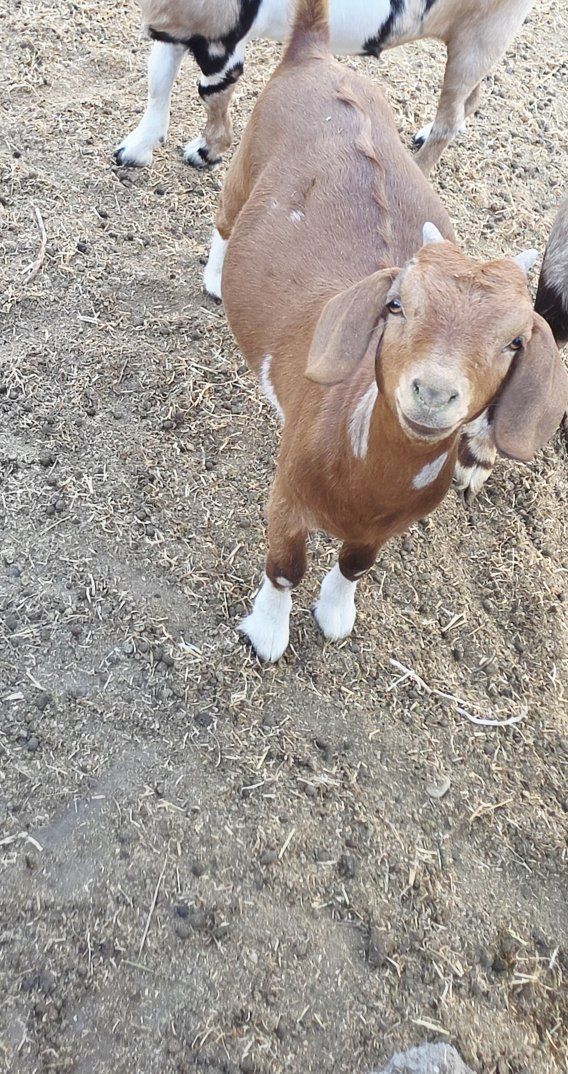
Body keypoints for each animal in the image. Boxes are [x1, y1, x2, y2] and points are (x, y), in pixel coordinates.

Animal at [115, 0, 533, 175]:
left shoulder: (222, 46)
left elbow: (211, 94)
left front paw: (207, 152)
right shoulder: (175, 29)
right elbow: (158, 82)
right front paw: (135, 149)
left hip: (479, 39)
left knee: (451, 117)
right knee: (469, 98)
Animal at [205, 0, 568, 662]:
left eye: (514, 341)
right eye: (396, 305)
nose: (433, 392)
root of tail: (314, 52)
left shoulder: (385, 528)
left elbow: (356, 564)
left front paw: (335, 615)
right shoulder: (288, 492)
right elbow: (284, 566)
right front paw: (267, 635)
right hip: (247, 161)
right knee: (225, 217)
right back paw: (216, 277)